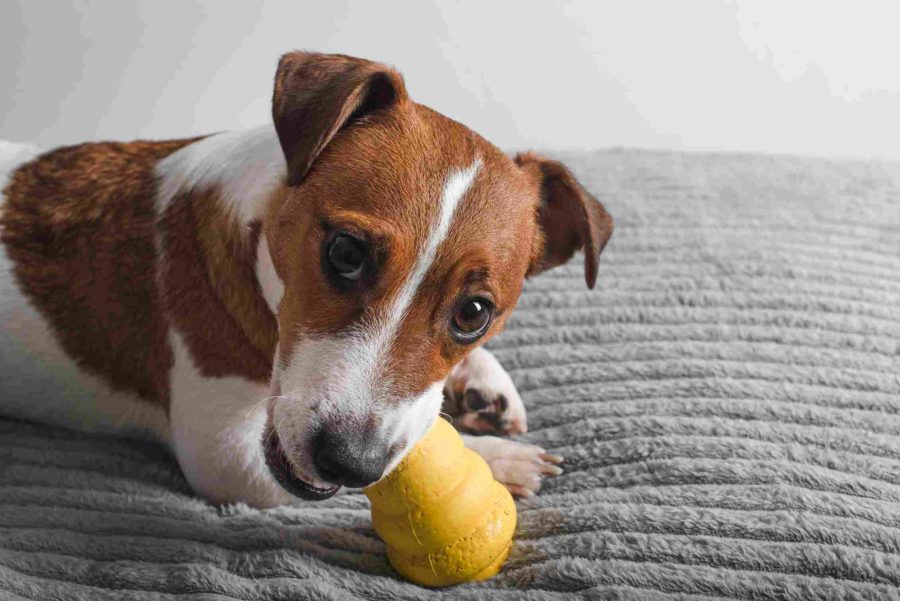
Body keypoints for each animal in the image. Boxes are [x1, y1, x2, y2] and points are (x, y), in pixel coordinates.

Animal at [1, 52, 612, 506]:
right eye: (345, 252)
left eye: (474, 312)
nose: (348, 461)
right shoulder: (227, 457)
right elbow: (405, 464)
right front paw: (491, 461)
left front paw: (480, 381)